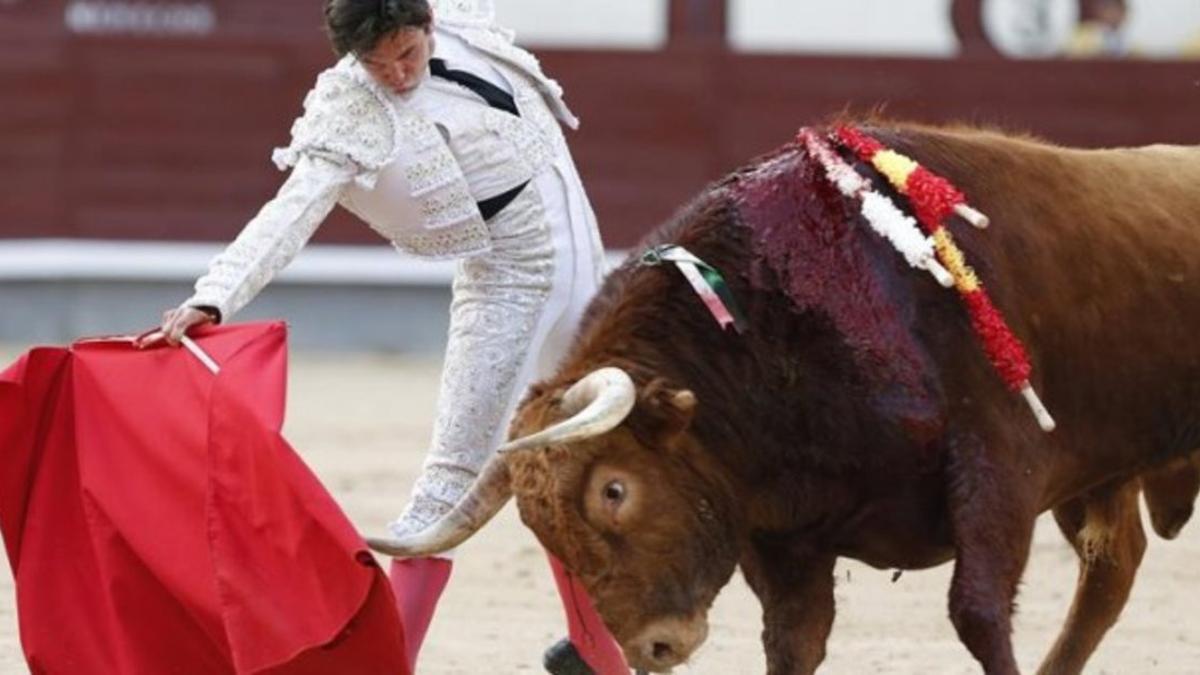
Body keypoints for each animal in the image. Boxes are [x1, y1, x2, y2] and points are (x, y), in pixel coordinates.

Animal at [364, 121, 1200, 672]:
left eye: (615, 489)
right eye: (538, 526)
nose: (634, 647)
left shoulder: (997, 465)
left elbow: (979, 611)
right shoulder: (783, 529)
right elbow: (794, 639)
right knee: (1112, 565)